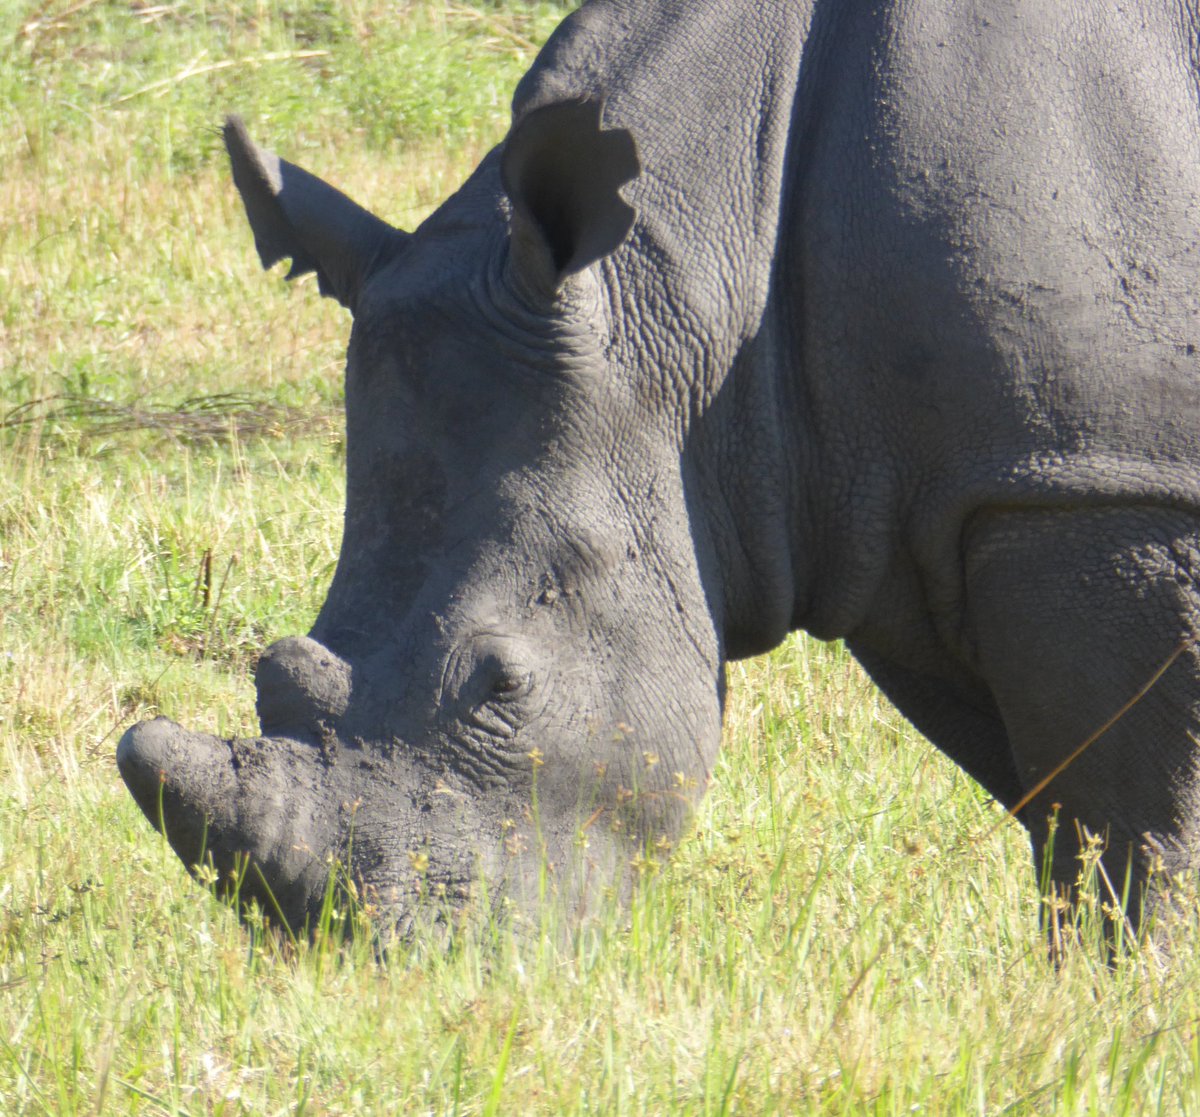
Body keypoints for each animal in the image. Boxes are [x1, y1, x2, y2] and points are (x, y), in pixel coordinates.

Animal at [118, 0, 1200, 937]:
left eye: (503, 683)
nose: (370, 958)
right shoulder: (913, 502)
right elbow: (1057, 804)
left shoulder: (1090, 486)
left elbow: (1127, 829)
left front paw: (1118, 1000)